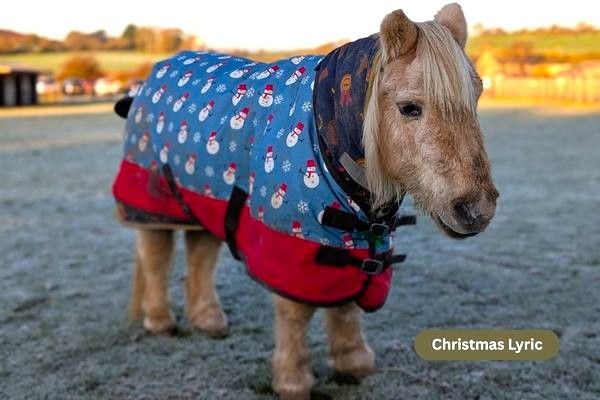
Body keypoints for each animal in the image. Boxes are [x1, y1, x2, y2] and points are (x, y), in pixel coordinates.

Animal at [111, 3, 498, 399]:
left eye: (477, 97)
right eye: (409, 108)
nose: (476, 210)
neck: (324, 138)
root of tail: (152, 76)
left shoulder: (354, 241)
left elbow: (344, 305)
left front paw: (351, 363)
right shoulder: (289, 242)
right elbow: (295, 312)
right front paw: (293, 381)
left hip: (202, 197)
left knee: (201, 253)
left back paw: (208, 320)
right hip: (153, 201)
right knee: (156, 257)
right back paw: (160, 321)